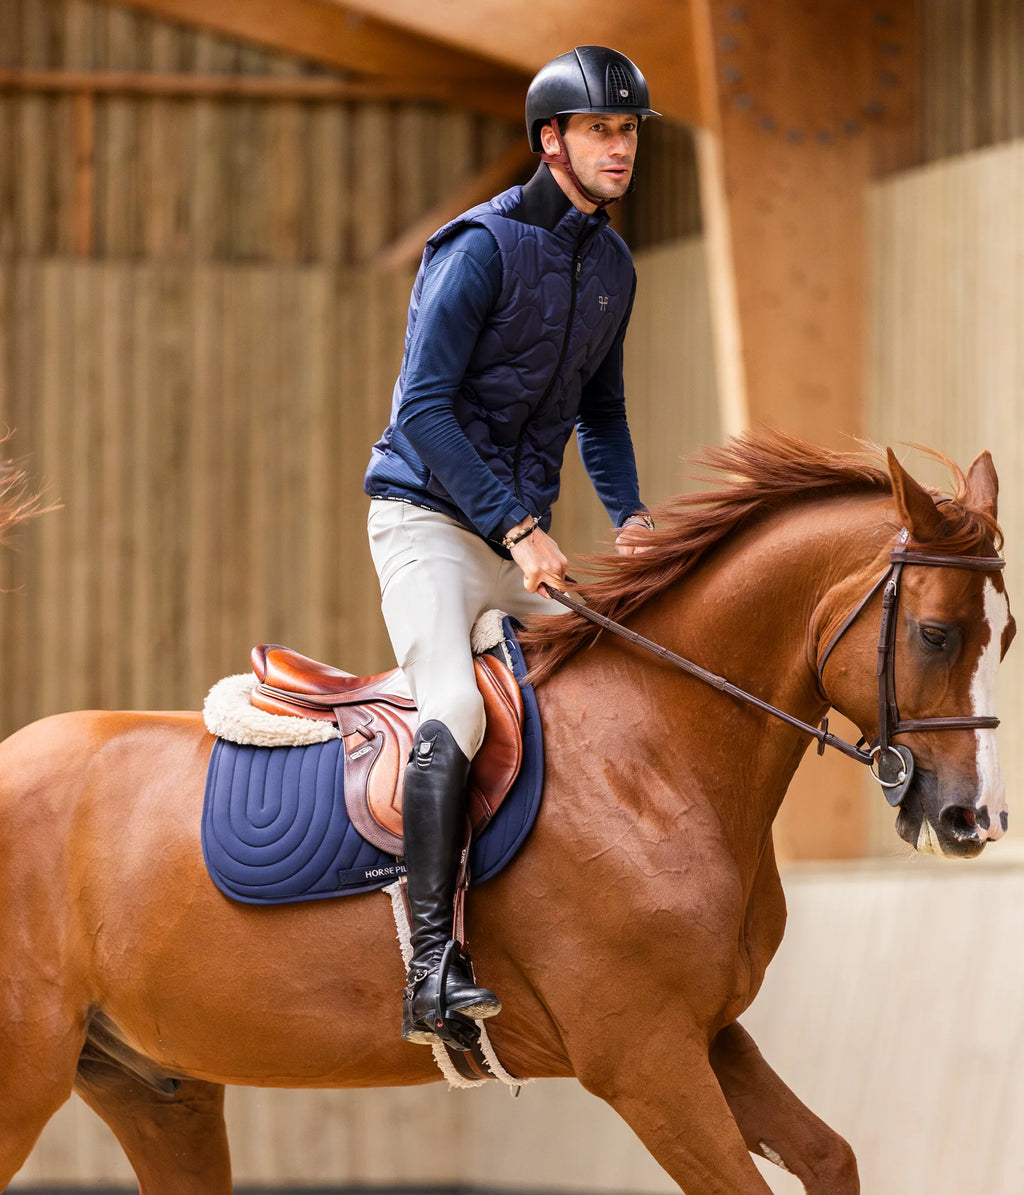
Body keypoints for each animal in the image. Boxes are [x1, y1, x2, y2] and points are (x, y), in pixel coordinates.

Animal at [0, 431, 1014, 1194]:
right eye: (936, 633)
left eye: (1000, 635)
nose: (975, 819)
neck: (655, 751)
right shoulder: (645, 1059)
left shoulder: (709, 1034)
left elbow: (830, 1155)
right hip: (28, 1077)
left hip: (156, 1089)